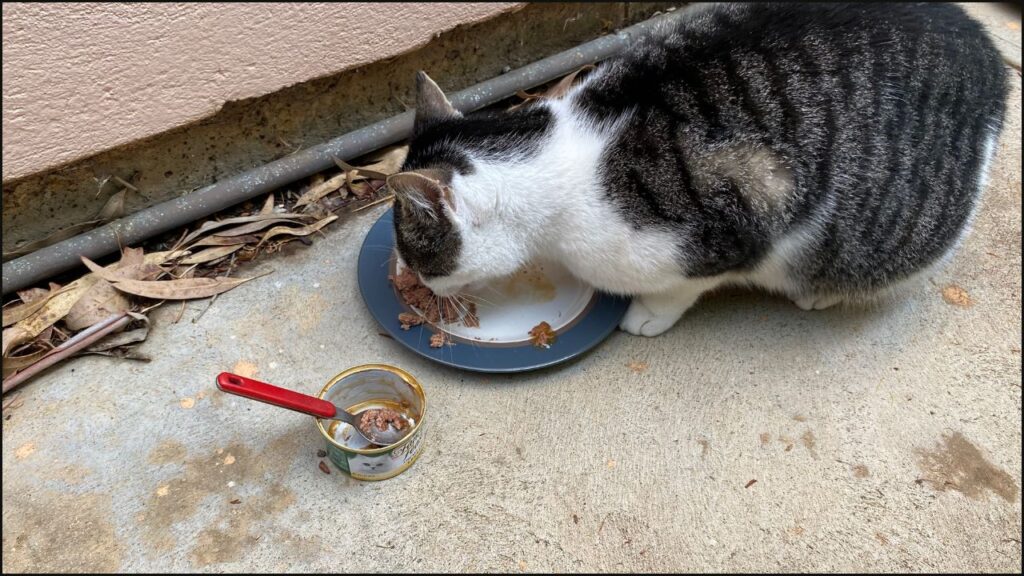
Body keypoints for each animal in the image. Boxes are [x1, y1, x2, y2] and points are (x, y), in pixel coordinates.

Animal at [385, 3, 1007, 336]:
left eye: (416, 255)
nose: (411, 281)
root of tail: (987, 52)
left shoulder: (733, 228)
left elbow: (682, 287)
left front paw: (646, 316)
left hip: (887, 230)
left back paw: (823, 294)